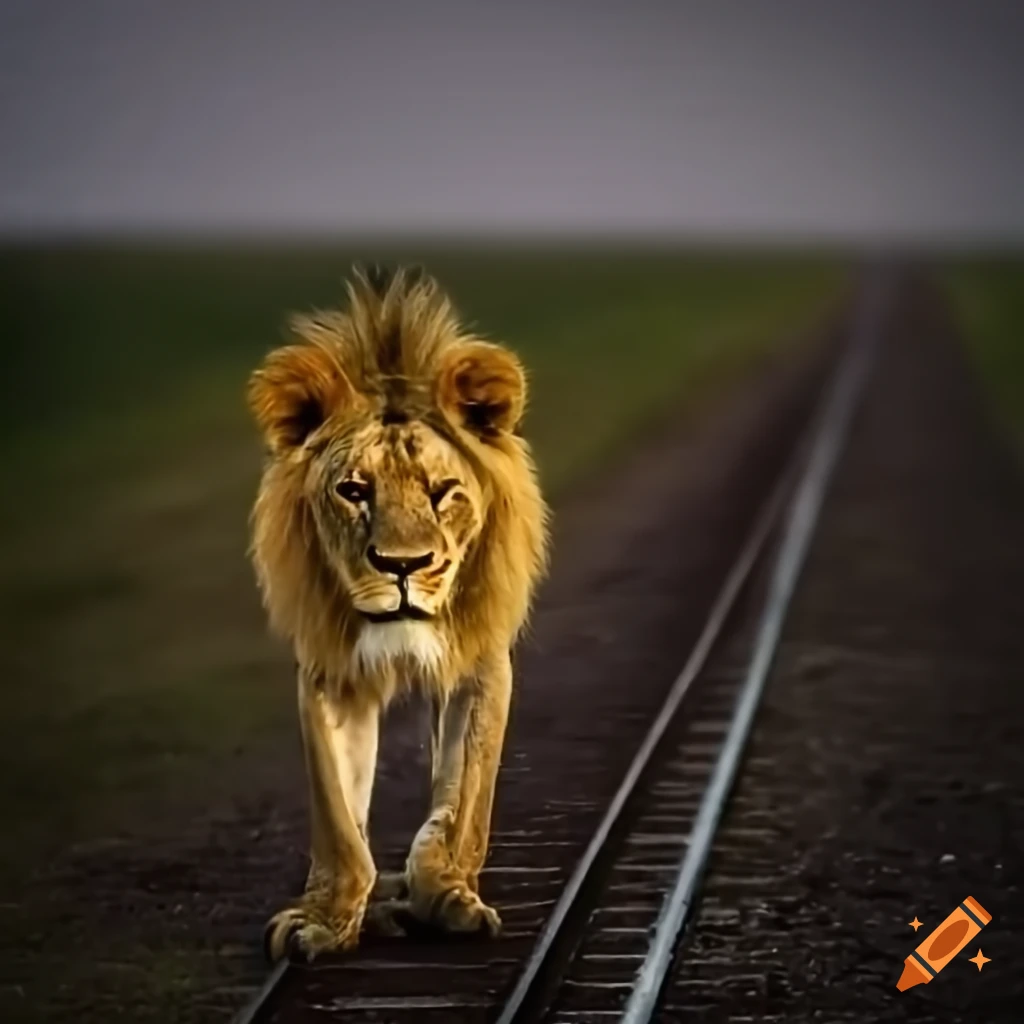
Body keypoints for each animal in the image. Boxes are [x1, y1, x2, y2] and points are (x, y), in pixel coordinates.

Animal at [246, 263, 550, 961]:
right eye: (354, 491)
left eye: (444, 493)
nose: (402, 566)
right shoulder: (328, 669)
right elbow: (337, 816)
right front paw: (324, 920)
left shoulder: (481, 661)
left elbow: (461, 802)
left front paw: (448, 899)